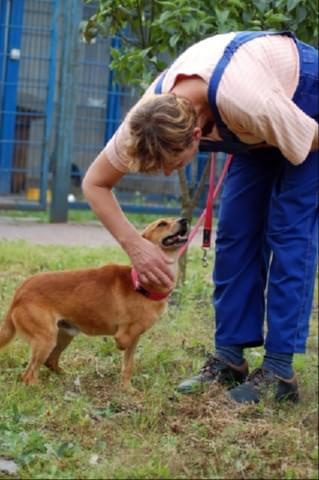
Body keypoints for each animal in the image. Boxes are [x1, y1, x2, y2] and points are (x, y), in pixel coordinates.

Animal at [0, 219, 189, 388]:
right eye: (162, 224)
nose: (185, 220)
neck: (144, 285)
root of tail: (19, 292)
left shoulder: (135, 339)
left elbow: (128, 366)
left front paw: (127, 389)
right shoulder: (127, 334)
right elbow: (123, 340)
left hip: (65, 334)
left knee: (50, 361)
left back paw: (67, 378)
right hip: (46, 339)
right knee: (28, 374)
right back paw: (38, 387)